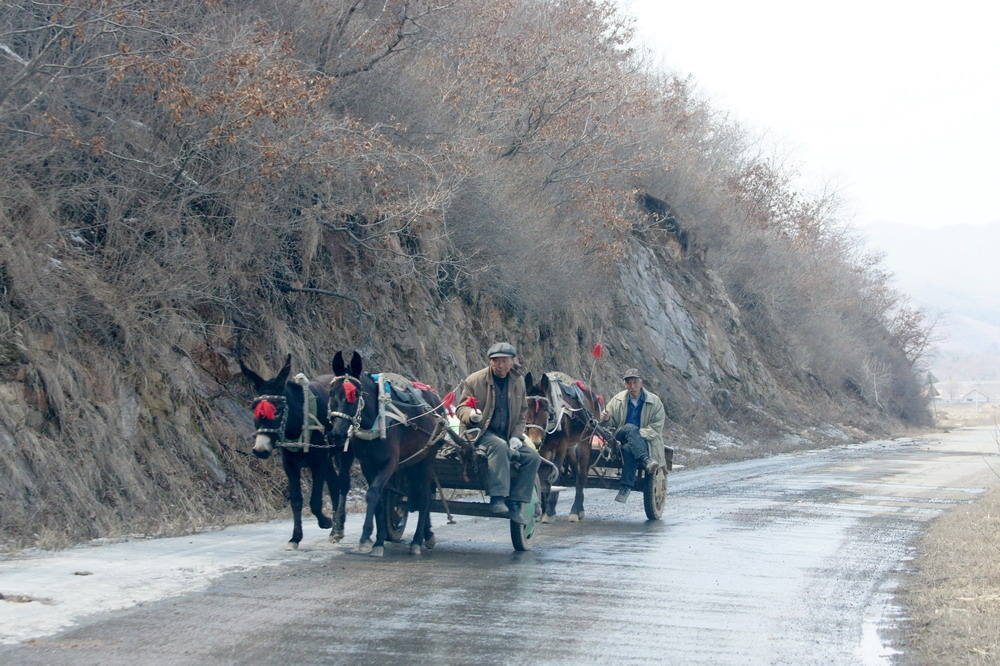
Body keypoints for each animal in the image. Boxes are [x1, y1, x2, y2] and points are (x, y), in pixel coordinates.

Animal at [240, 356, 354, 548]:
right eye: (254, 409)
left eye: (277, 411)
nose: (260, 450)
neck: (299, 423)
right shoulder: (290, 465)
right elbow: (296, 500)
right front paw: (295, 537)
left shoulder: (318, 464)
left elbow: (314, 501)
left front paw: (325, 522)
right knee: (334, 484)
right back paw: (337, 528)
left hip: (340, 453)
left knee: (342, 484)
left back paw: (336, 526)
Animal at [326, 352, 444, 556]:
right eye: (332, 392)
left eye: (356, 394)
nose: (338, 434)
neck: (377, 419)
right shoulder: (367, 465)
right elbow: (379, 499)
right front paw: (379, 540)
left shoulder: (389, 463)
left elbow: (372, 493)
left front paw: (366, 537)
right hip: (413, 462)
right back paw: (427, 534)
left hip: (427, 459)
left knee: (425, 497)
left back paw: (417, 540)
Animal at [524, 370, 600, 520]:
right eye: (526, 408)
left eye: (546, 409)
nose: (535, 441)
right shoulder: (544, 449)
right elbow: (543, 473)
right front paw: (543, 507)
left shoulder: (561, 446)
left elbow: (556, 472)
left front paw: (550, 511)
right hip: (570, 448)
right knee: (576, 471)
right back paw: (580, 507)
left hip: (585, 441)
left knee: (582, 475)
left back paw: (575, 510)